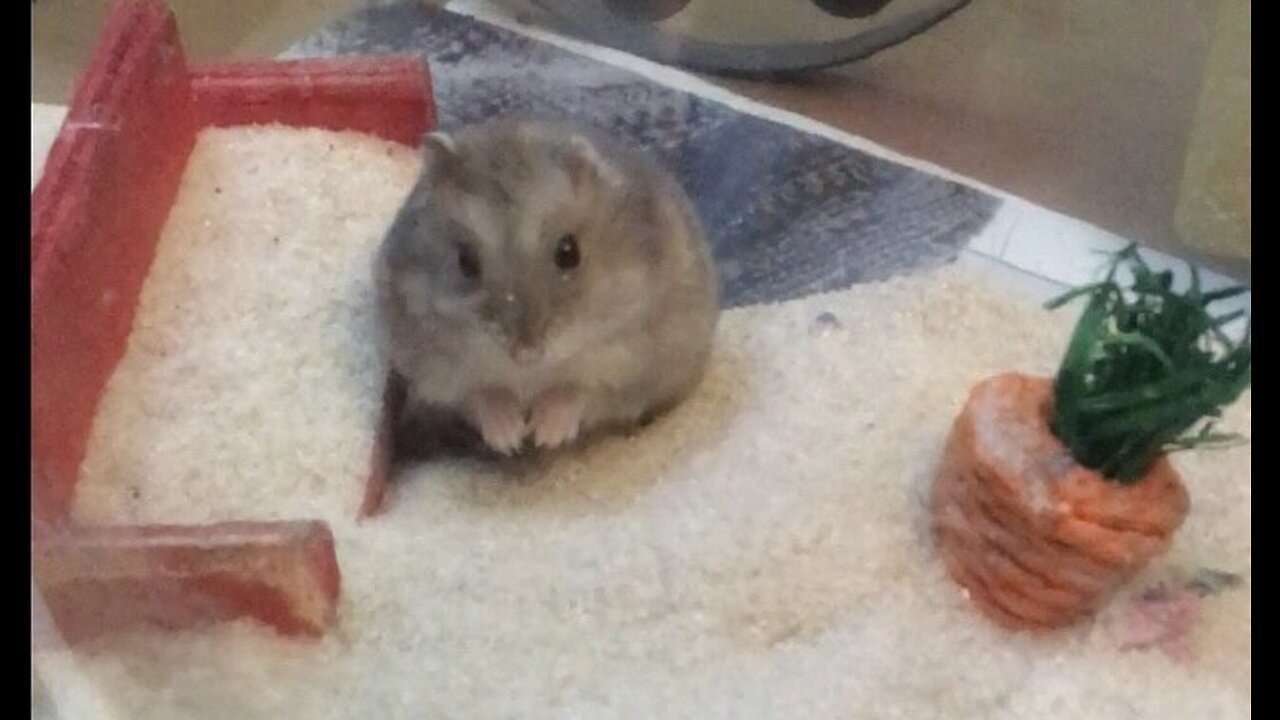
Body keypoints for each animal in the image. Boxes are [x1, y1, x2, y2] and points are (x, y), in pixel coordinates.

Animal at [376, 119, 721, 453]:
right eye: (465, 261)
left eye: (569, 252)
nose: (526, 354)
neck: (529, 376)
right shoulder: (438, 375)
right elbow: (482, 395)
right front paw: (511, 438)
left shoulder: (627, 366)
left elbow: (578, 391)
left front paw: (544, 436)